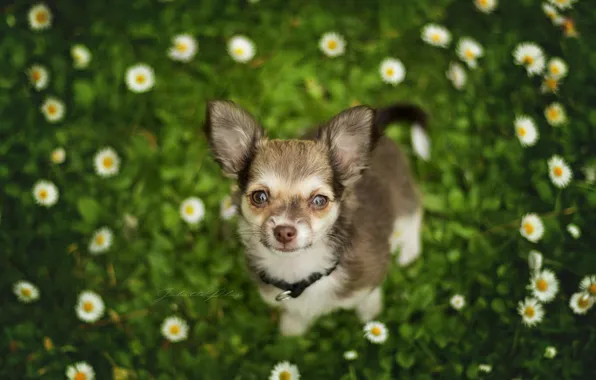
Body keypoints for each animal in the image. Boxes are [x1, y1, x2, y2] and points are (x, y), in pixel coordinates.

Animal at [205, 100, 428, 336]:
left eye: (319, 200)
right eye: (260, 196)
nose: (284, 231)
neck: (299, 269)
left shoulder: (370, 279)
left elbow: (368, 298)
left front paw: (370, 314)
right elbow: (295, 314)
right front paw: (292, 329)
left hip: (402, 192)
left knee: (413, 210)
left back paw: (409, 248)